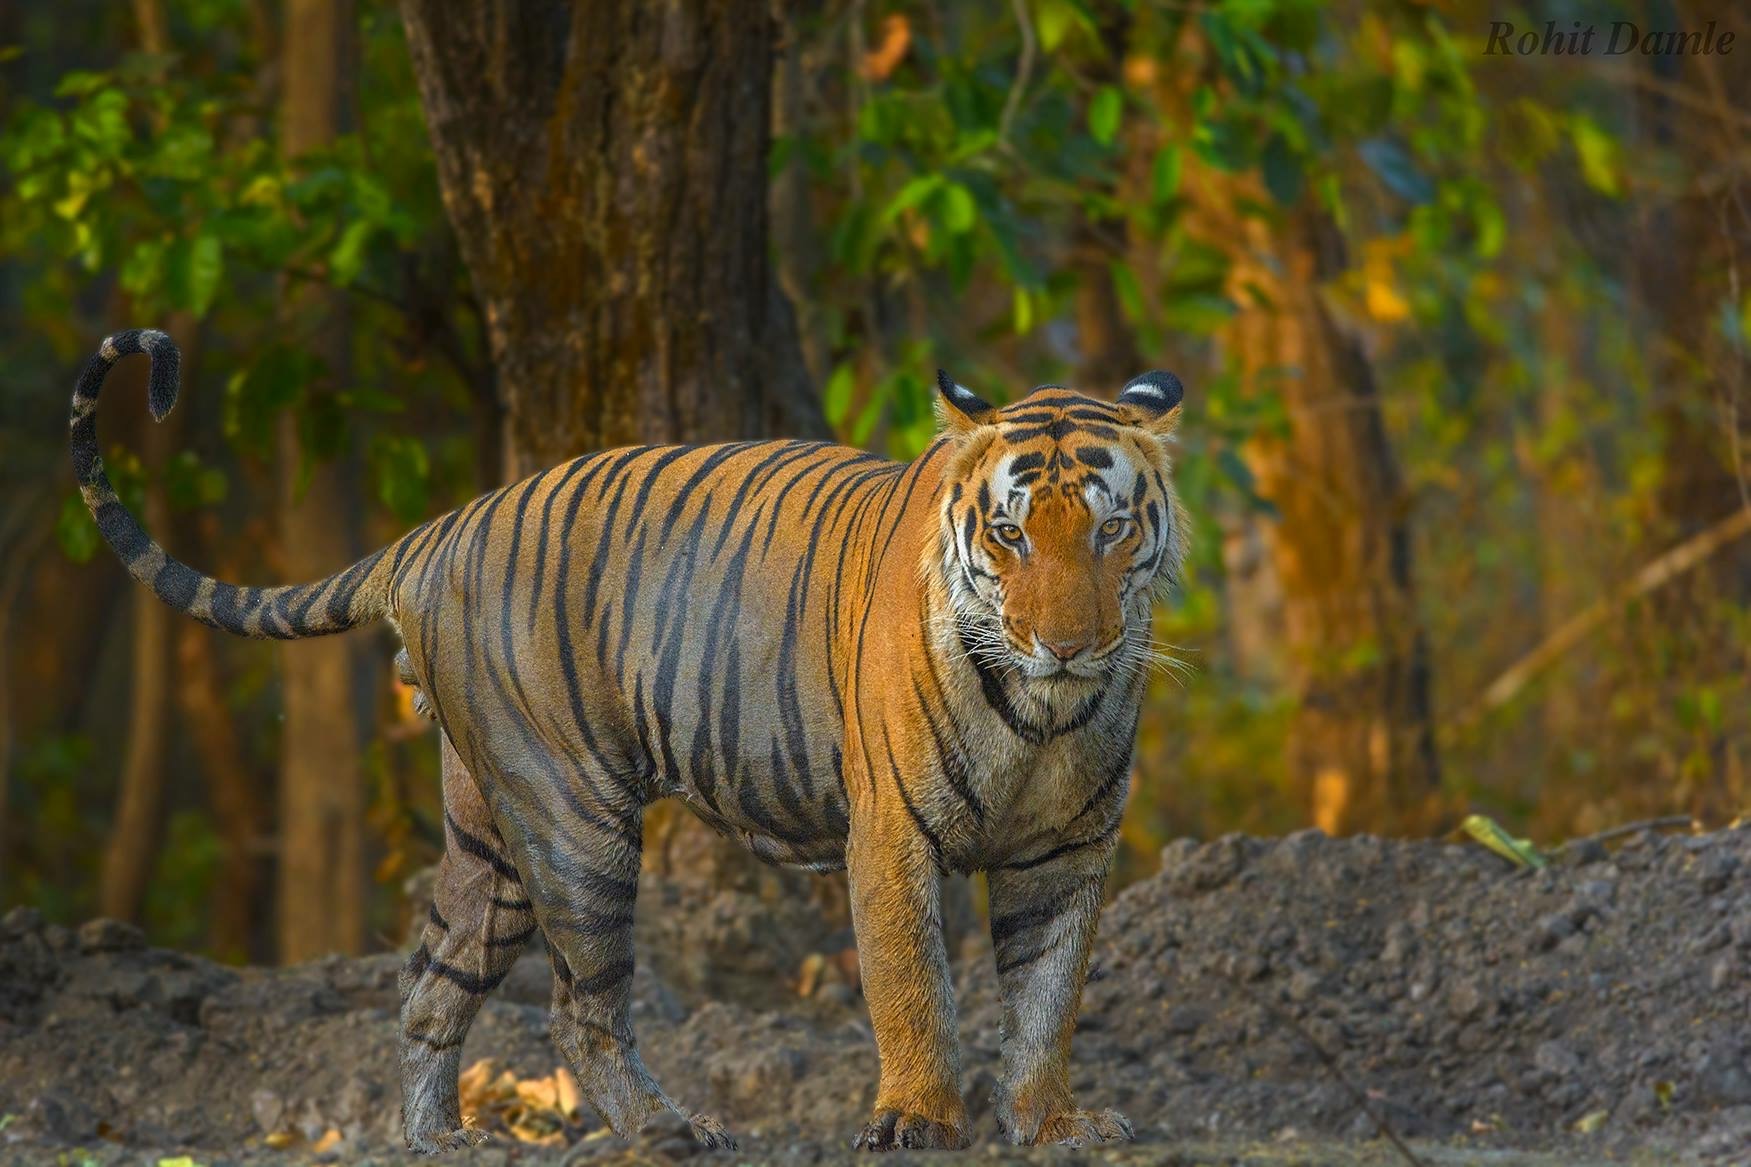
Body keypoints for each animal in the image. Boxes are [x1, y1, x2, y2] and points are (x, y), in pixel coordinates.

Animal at [69, 328, 1187, 1153]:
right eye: (1008, 534)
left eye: (1109, 529)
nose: (1066, 644)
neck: (1044, 716)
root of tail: (437, 529)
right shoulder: (891, 835)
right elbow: (915, 984)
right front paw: (918, 1122)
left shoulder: (1069, 849)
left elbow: (1046, 996)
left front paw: (1053, 1125)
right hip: (571, 821)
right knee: (581, 1006)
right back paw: (669, 1130)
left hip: (490, 840)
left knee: (433, 982)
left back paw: (443, 1141)